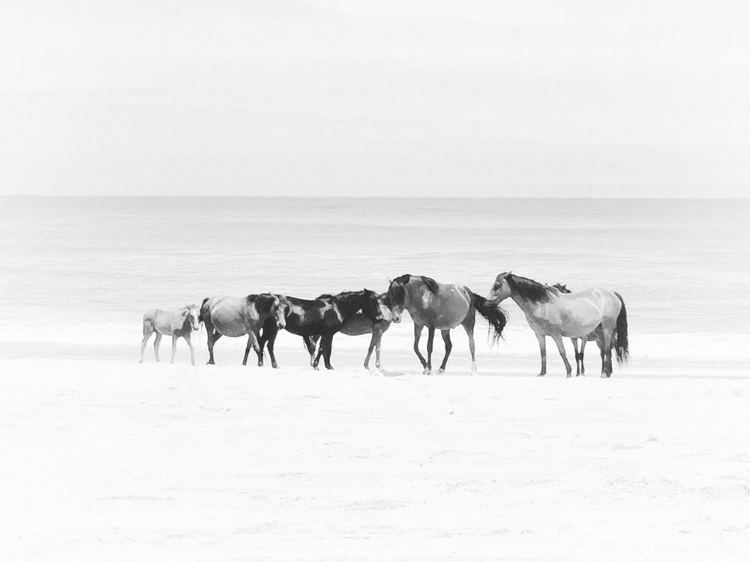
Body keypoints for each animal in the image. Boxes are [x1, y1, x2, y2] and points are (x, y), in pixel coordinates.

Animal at [488, 273, 628, 378]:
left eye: (497, 285)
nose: (488, 302)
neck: (542, 304)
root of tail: (612, 293)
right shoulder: (539, 335)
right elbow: (543, 352)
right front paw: (542, 373)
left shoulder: (556, 335)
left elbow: (562, 352)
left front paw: (569, 373)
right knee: (607, 349)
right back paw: (607, 372)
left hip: (607, 328)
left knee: (607, 349)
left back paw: (605, 373)